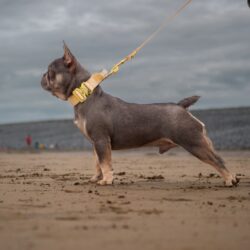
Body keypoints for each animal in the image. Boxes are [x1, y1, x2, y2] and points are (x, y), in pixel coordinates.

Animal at [41, 43, 240, 188]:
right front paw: (97, 178)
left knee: (217, 160)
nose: (41, 76)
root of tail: (181, 106)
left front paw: (107, 180)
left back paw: (229, 180)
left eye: (50, 71)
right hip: (201, 141)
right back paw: (234, 178)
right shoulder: (96, 143)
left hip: (194, 143)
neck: (85, 94)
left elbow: (105, 162)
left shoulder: (101, 140)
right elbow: (98, 162)